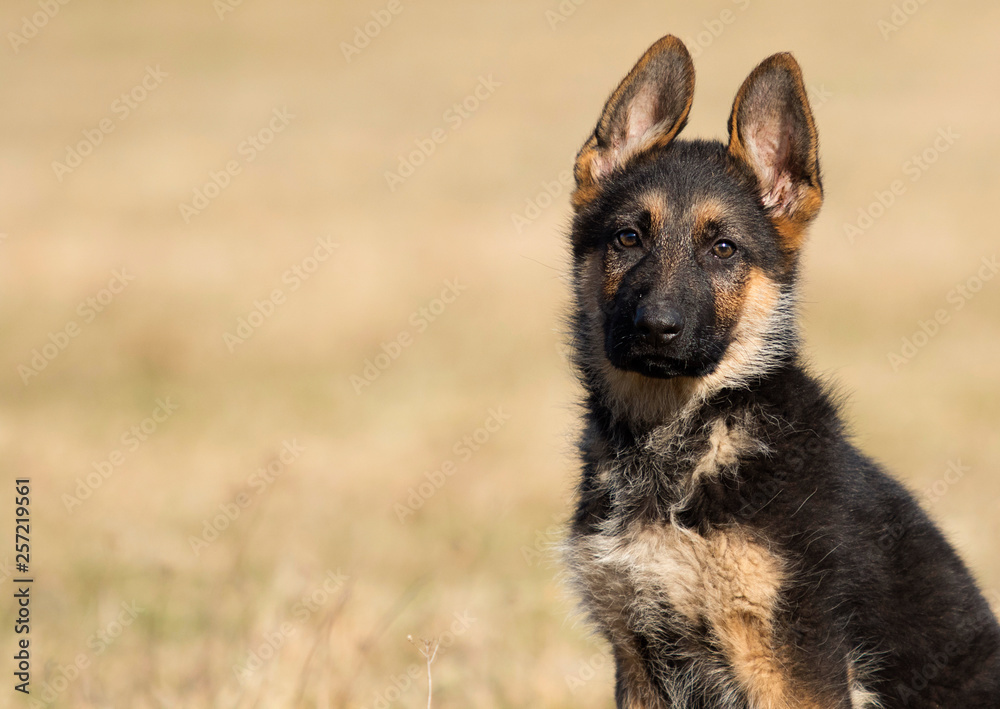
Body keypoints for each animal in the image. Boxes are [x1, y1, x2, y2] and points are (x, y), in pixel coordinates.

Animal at [564, 36, 1000, 704]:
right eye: (628, 238)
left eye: (723, 249)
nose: (657, 328)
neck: (679, 444)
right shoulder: (636, 655)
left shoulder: (789, 659)